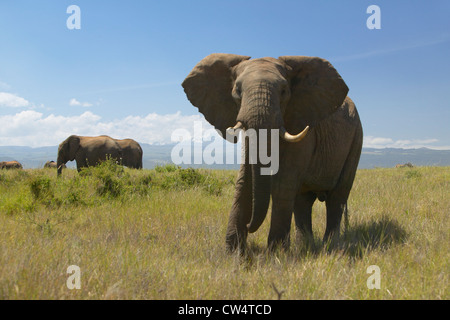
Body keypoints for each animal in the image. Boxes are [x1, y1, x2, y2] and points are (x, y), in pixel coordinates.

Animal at [182, 53, 362, 252]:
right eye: (237, 90)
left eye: (284, 91)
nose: (248, 226)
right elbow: (245, 180)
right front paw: (233, 252)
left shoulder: (303, 124)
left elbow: (283, 183)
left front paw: (275, 253)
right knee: (302, 201)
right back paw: (304, 247)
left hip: (356, 139)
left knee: (337, 196)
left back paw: (330, 247)